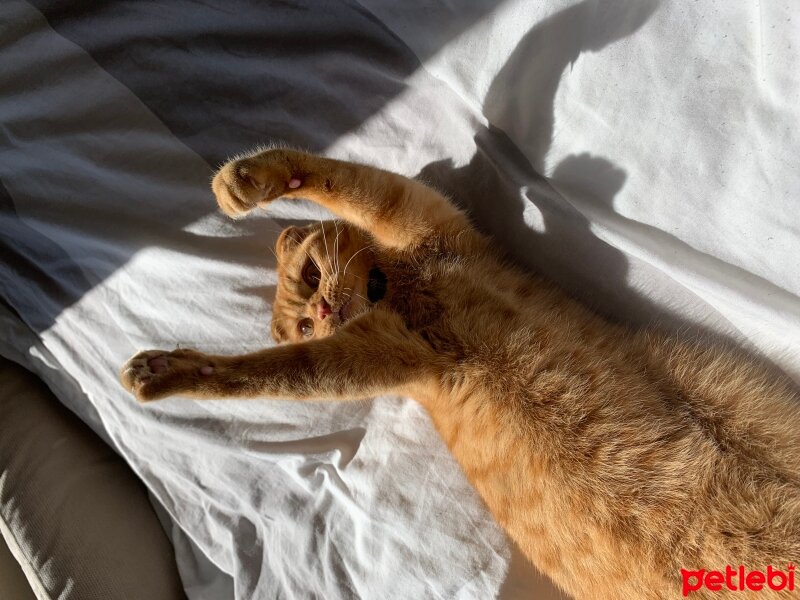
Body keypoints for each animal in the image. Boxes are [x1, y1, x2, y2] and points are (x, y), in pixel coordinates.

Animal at [119, 148, 800, 596]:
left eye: (312, 276)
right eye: (307, 325)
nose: (324, 310)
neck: (401, 292)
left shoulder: (408, 214)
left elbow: (332, 176)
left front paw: (248, 180)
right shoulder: (369, 358)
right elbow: (263, 373)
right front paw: (165, 371)